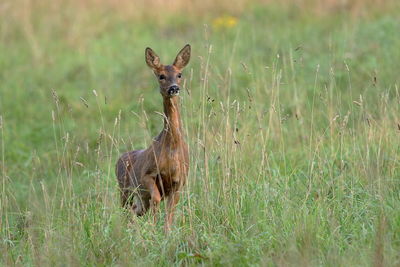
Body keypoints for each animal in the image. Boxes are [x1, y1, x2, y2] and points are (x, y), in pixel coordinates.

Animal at [115, 44, 191, 232]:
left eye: (179, 74)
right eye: (161, 76)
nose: (174, 88)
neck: (171, 151)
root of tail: (120, 157)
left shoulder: (180, 181)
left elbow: (171, 210)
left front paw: (166, 232)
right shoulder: (147, 174)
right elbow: (156, 198)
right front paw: (154, 226)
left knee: (136, 209)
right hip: (124, 188)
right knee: (126, 209)